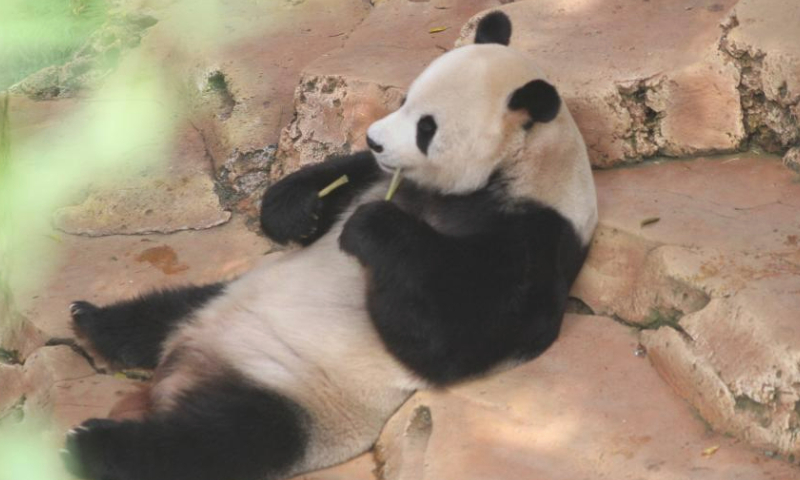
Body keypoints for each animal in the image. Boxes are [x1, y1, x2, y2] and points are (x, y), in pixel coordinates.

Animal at [64, 10, 592, 480]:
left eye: (427, 127)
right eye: (405, 99)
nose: (374, 139)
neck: (517, 170)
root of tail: (182, 366)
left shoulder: (532, 238)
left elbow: (451, 336)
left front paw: (370, 228)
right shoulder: (378, 176)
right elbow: (335, 177)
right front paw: (299, 212)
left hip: (300, 403)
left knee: (213, 443)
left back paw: (91, 443)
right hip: (226, 294)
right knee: (163, 311)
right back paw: (93, 321)